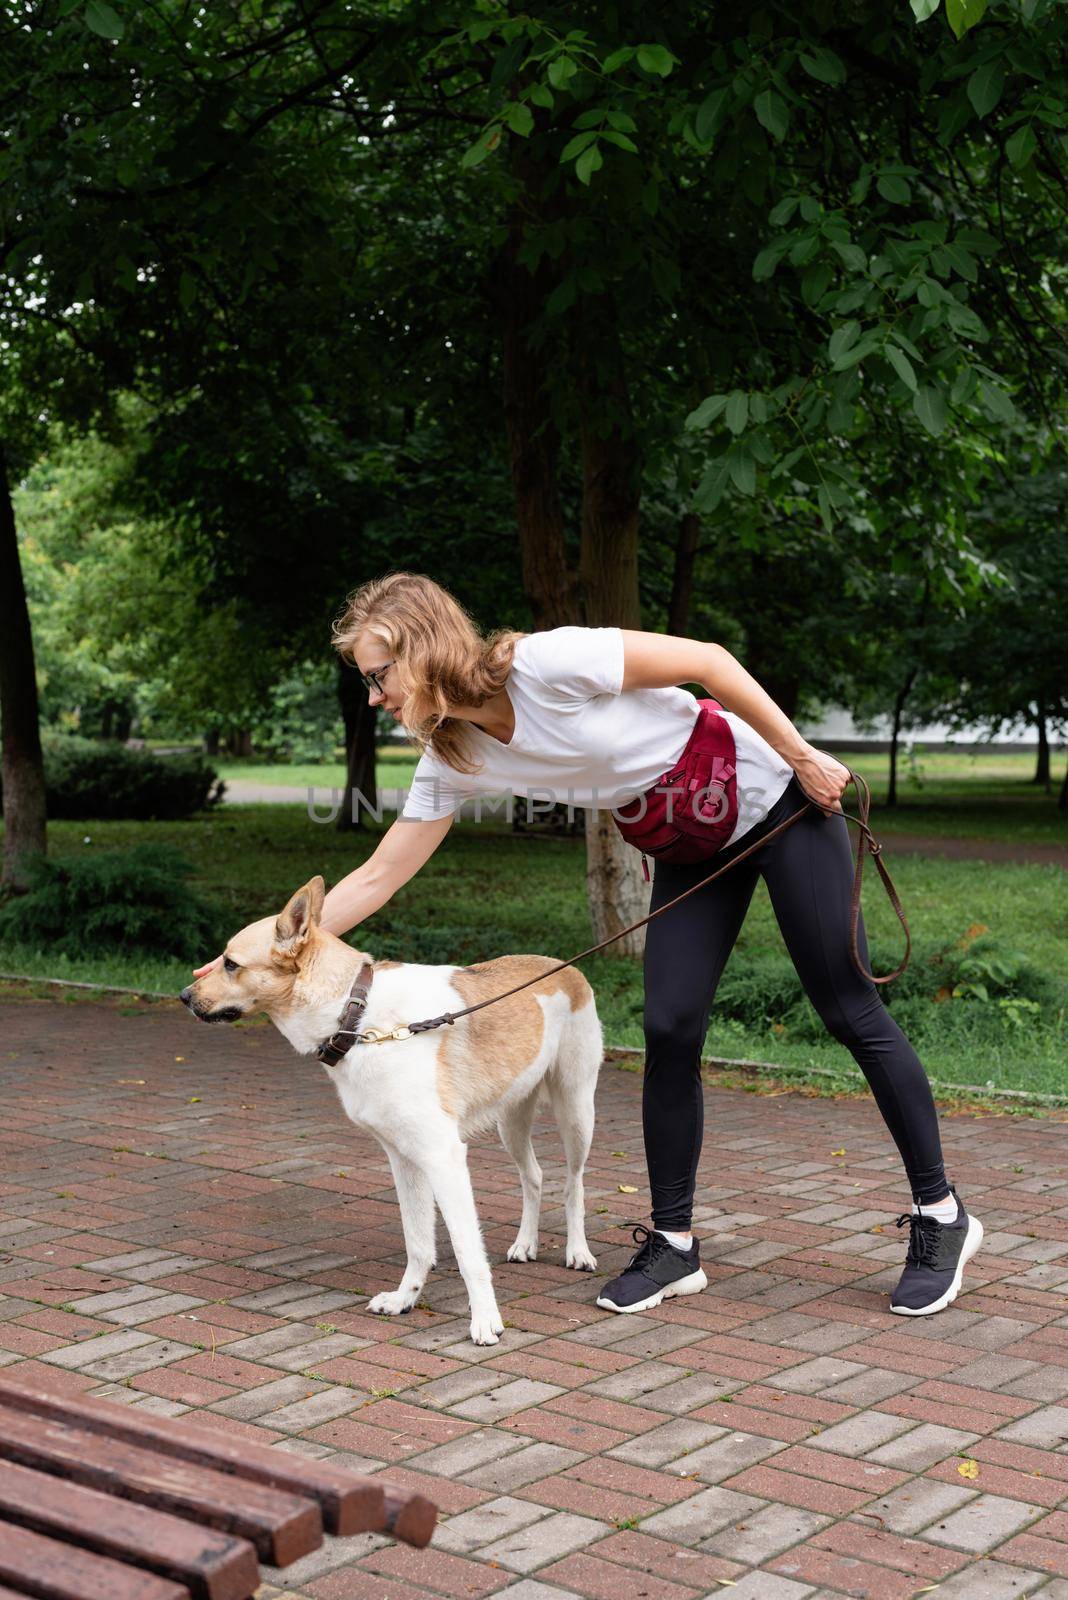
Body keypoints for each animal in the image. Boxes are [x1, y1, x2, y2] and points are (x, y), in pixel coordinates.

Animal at [179, 883, 604, 1344]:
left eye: (230, 964)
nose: (184, 996)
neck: (357, 1017)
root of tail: (563, 967)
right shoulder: (404, 1159)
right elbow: (418, 1242)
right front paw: (405, 1300)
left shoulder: (443, 1158)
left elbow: (467, 1253)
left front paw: (485, 1320)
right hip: (511, 1121)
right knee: (534, 1176)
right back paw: (526, 1244)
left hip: (576, 1112)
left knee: (574, 1184)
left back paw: (578, 1251)